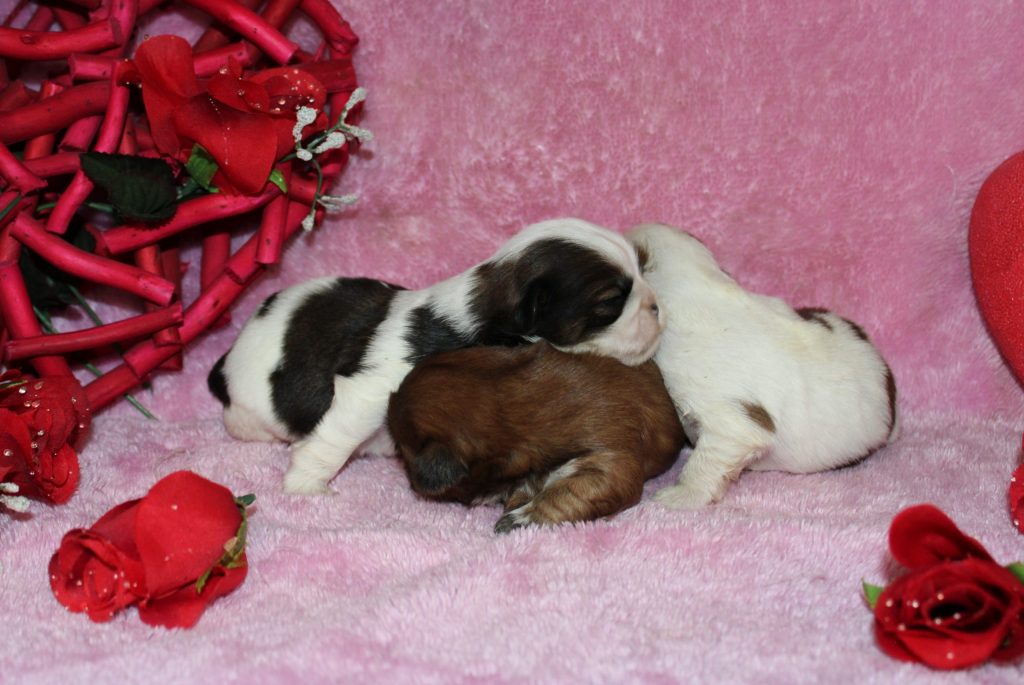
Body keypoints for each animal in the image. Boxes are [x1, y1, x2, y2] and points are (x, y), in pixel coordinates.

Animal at [209, 218, 663, 494]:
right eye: (610, 302)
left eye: (643, 270)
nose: (657, 306)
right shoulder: (372, 391)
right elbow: (335, 438)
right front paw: (305, 485)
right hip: (253, 416)